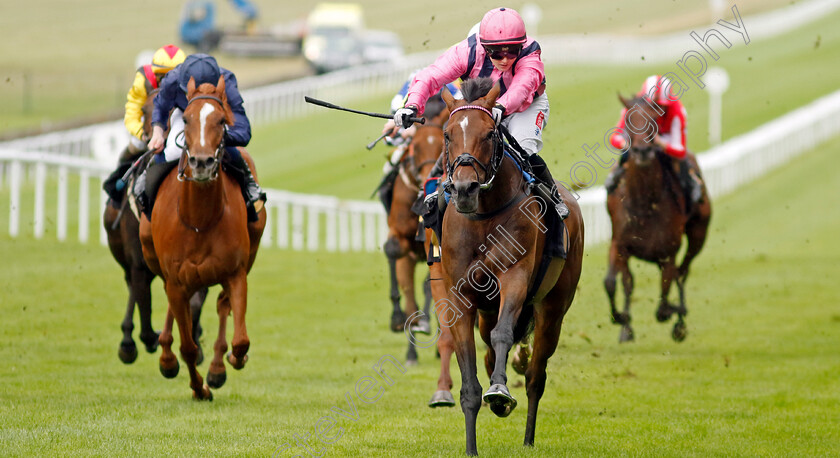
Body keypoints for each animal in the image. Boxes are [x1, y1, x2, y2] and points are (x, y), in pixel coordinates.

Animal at [104, 89, 208, 364]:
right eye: (143, 110)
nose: (152, 141)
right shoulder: (139, 264)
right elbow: (146, 322)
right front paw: (152, 339)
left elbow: (193, 306)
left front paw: (195, 345)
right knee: (132, 287)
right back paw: (127, 342)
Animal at [139, 77, 266, 398]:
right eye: (186, 118)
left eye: (221, 120)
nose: (201, 162)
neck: (199, 220)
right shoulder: (175, 279)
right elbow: (188, 346)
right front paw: (198, 389)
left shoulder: (236, 273)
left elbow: (240, 339)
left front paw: (230, 361)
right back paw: (167, 358)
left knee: (222, 305)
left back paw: (218, 367)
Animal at [384, 104, 450, 364]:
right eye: (416, 146)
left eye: (441, 143)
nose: (428, 180)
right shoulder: (401, 241)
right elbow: (392, 250)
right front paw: (397, 318)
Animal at [436, 78, 580, 454]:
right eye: (447, 135)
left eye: (489, 134)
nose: (465, 188)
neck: (483, 215)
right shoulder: (460, 295)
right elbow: (468, 370)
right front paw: (471, 447)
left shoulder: (514, 277)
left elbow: (504, 334)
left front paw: (500, 392)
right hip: (487, 308)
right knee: (489, 347)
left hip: (553, 308)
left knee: (535, 375)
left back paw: (528, 437)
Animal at [608, 95, 712, 342]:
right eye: (628, 119)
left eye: (655, 119)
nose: (642, 150)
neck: (644, 204)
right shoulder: (620, 244)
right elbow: (619, 283)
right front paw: (624, 324)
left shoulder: (667, 254)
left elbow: (663, 306)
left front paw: (677, 313)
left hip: (698, 234)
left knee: (683, 271)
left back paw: (680, 320)